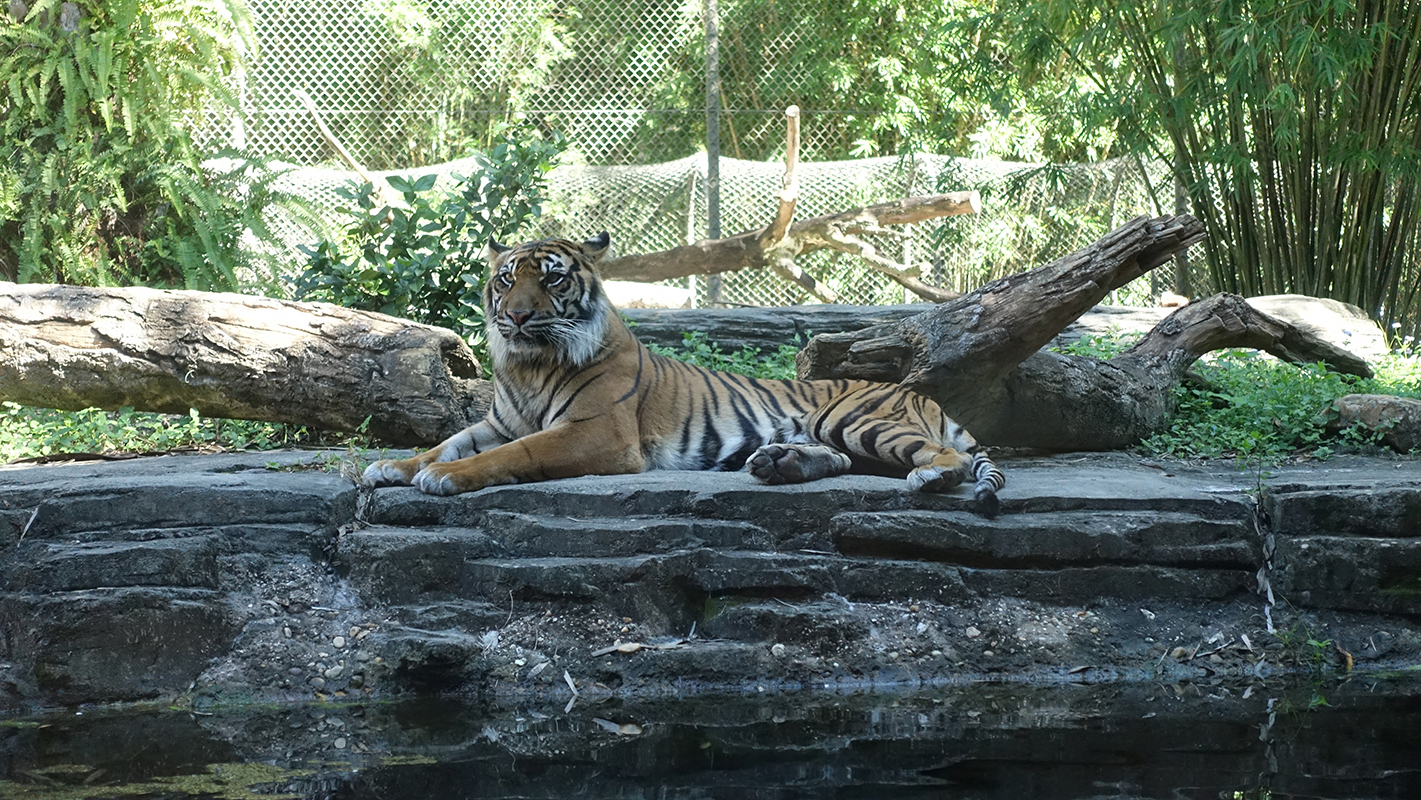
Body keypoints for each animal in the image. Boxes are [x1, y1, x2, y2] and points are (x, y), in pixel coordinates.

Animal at [361, 233, 1006, 517]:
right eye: (505, 279)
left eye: (551, 279)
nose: (515, 316)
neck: (530, 365)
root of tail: (921, 398)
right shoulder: (498, 423)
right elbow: (444, 443)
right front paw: (391, 467)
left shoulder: (597, 432)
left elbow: (509, 456)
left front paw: (442, 479)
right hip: (836, 431)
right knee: (847, 462)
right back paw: (779, 463)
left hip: (857, 419)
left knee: (942, 457)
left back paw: (929, 478)